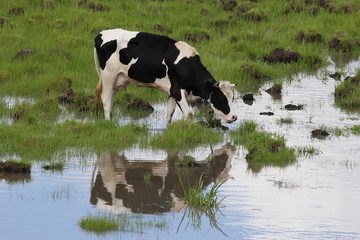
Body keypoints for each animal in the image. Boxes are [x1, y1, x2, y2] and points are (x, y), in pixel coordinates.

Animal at [94, 28, 238, 124]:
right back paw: (108, 122)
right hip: (108, 75)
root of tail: (101, 33)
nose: (234, 117)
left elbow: (170, 113)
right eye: (222, 99)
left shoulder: (172, 91)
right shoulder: (177, 90)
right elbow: (189, 114)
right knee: (106, 98)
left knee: (111, 97)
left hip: (118, 79)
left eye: (232, 98)